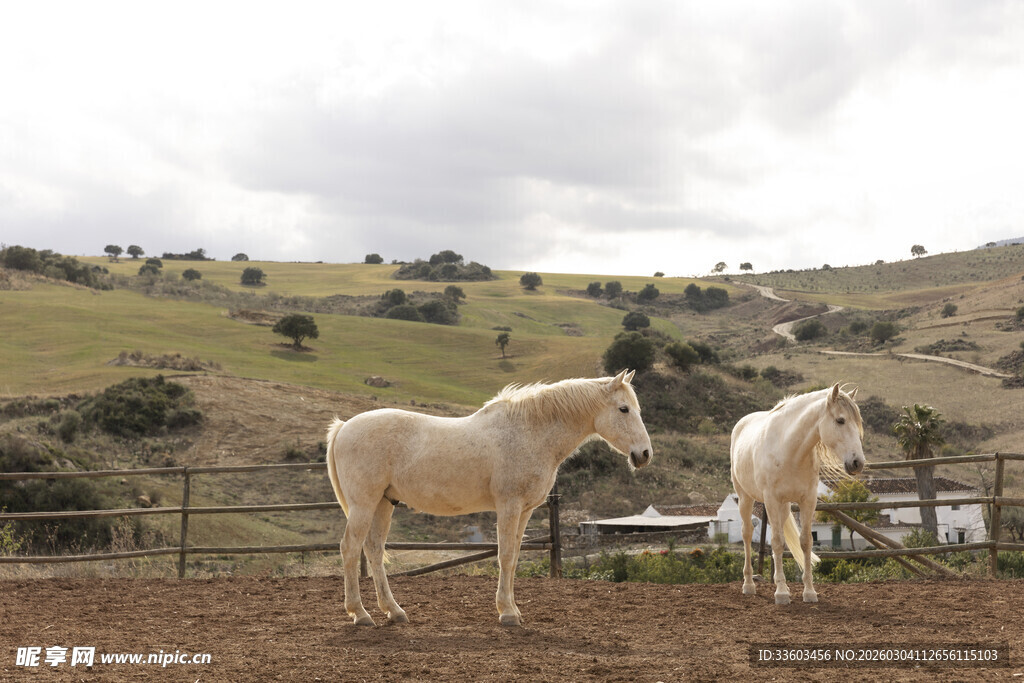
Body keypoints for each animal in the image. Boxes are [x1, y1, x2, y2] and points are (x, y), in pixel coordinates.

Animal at [326, 369, 653, 626]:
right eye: (624, 409)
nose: (645, 454)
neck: (530, 433)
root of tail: (343, 427)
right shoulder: (509, 506)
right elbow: (505, 556)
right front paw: (507, 614)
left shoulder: (525, 511)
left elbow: (515, 557)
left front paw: (514, 610)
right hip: (364, 504)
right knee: (350, 549)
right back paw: (360, 614)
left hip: (383, 503)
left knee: (374, 550)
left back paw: (394, 612)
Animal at [730, 384, 865, 605]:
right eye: (840, 420)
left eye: (858, 423)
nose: (857, 463)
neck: (790, 450)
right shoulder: (771, 500)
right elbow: (776, 542)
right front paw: (781, 593)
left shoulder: (807, 501)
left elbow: (805, 542)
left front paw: (809, 592)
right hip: (745, 498)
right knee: (747, 534)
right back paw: (749, 584)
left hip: (784, 507)